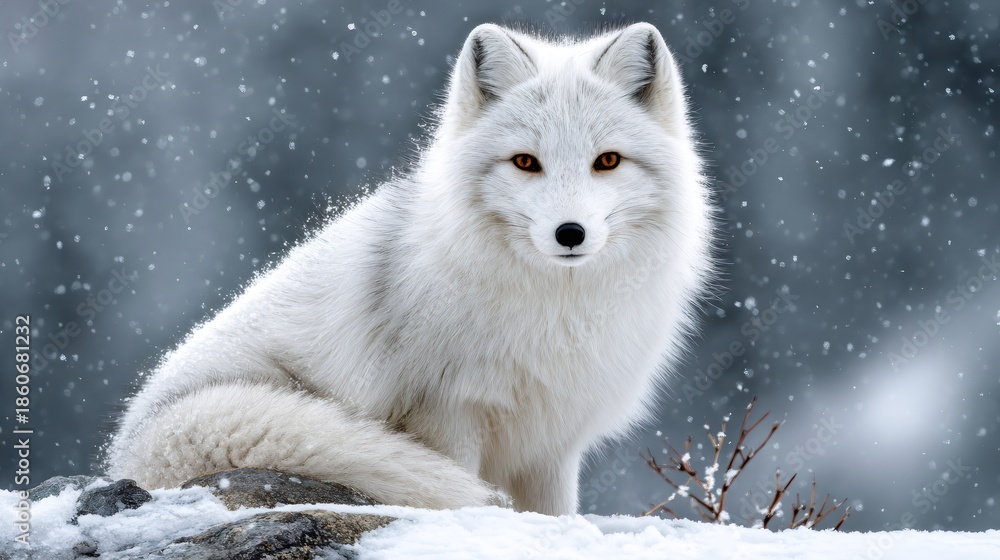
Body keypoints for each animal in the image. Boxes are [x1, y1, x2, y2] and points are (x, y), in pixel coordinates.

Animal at [106, 22, 715, 516]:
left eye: (607, 161)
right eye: (525, 162)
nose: (570, 233)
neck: (556, 310)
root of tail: (129, 443)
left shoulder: (551, 444)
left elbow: (556, 516)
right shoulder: (448, 413)